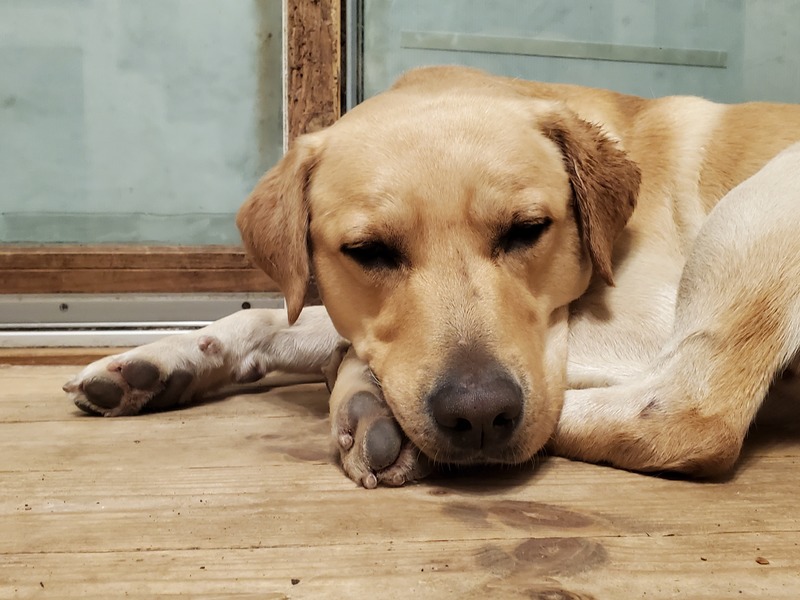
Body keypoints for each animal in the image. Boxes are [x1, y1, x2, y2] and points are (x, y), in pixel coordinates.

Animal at [64, 66, 800, 489]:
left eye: (528, 229)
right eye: (368, 250)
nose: (479, 417)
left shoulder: (639, 321)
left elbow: (341, 345)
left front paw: (362, 393)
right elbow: (284, 316)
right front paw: (162, 359)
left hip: (755, 209)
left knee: (687, 416)